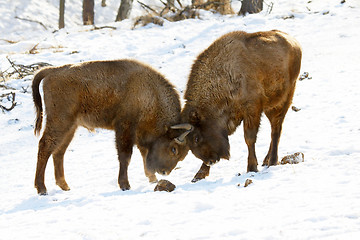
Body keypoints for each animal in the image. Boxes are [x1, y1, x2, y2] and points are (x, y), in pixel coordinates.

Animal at [32, 59, 193, 195]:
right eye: (173, 149)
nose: (164, 172)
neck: (150, 93)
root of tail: (52, 71)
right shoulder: (125, 127)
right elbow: (125, 155)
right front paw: (125, 185)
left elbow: (143, 152)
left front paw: (152, 178)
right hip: (60, 122)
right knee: (45, 146)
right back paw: (42, 189)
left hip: (70, 127)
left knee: (59, 152)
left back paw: (64, 186)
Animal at [181, 29, 302, 182]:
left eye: (196, 138)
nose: (211, 161)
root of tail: (295, 43)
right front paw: (199, 175)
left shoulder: (252, 111)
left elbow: (249, 138)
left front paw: (252, 167)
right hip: (270, 107)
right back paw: (266, 160)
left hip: (282, 101)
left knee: (276, 130)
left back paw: (273, 161)